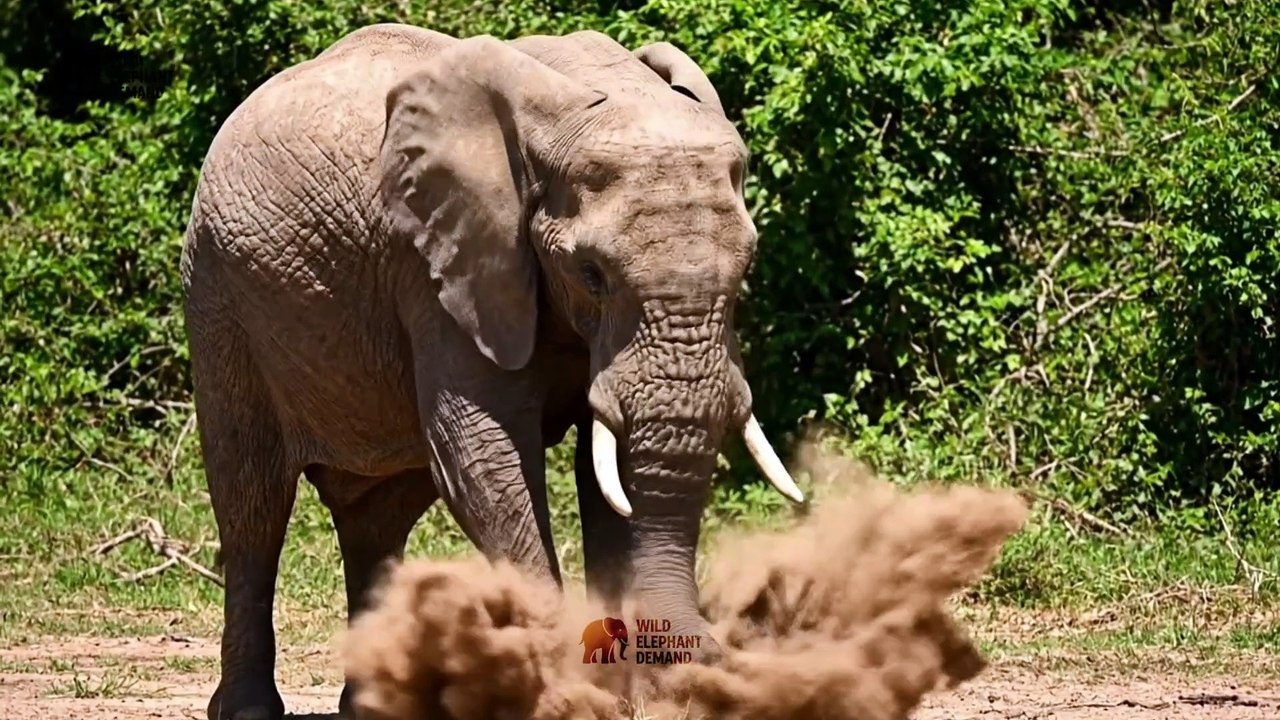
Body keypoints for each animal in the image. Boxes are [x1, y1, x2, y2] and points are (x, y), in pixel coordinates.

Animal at [180, 22, 805, 720]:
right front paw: (567, 695)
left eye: (747, 268)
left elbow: (602, 475)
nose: (714, 661)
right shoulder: (435, 263)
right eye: (592, 273)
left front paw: (623, 693)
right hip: (219, 299)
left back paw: (377, 704)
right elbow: (481, 451)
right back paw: (250, 708)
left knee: (376, 516)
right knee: (253, 505)